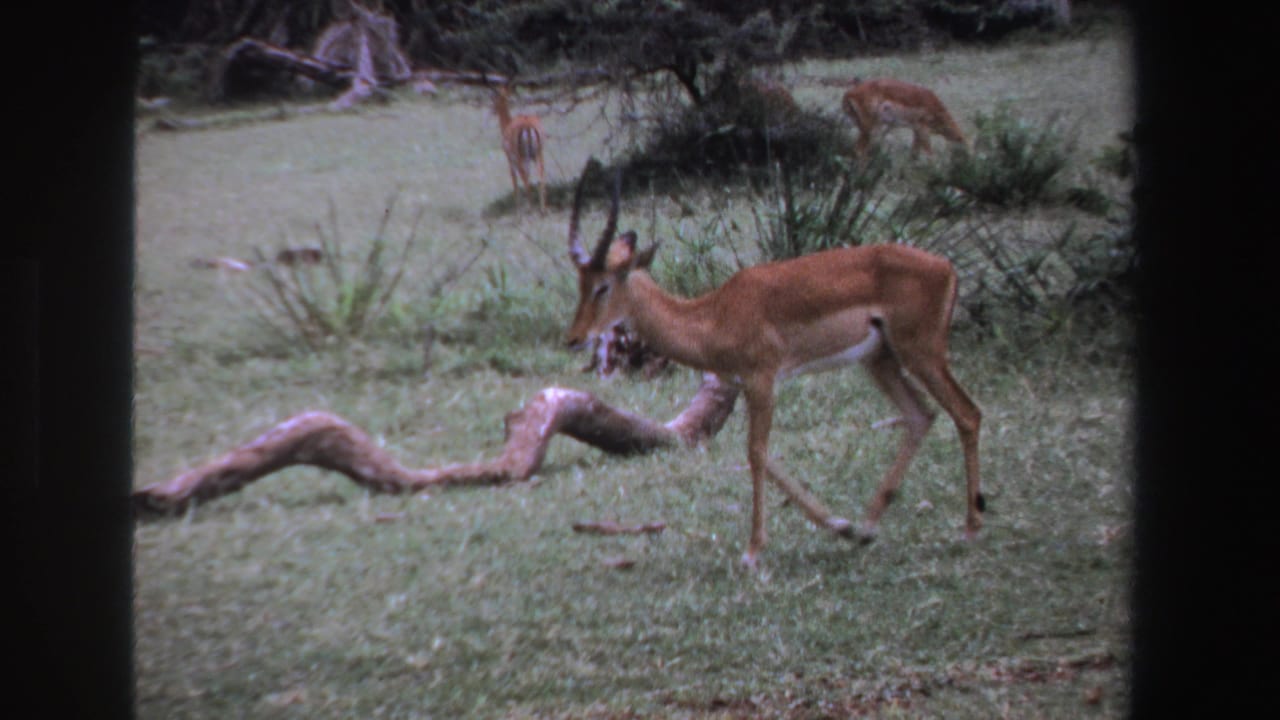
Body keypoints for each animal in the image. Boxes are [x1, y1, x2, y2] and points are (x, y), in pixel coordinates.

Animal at [492, 84, 546, 214]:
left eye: (494, 98)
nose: (492, 110)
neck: (507, 124)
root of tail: (528, 126)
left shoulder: (510, 160)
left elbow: (515, 181)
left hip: (521, 157)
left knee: (525, 178)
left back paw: (530, 209)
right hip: (538, 154)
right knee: (540, 175)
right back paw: (542, 210)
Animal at [564, 160, 983, 568]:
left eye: (604, 285)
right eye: (580, 283)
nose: (574, 338)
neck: (713, 315)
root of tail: (947, 267)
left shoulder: (762, 380)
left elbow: (756, 453)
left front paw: (752, 552)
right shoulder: (752, 385)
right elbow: (766, 456)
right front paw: (842, 526)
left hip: (922, 354)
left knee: (967, 413)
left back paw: (970, 529)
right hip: (880, 360)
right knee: (920, 416)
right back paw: (867, 527)